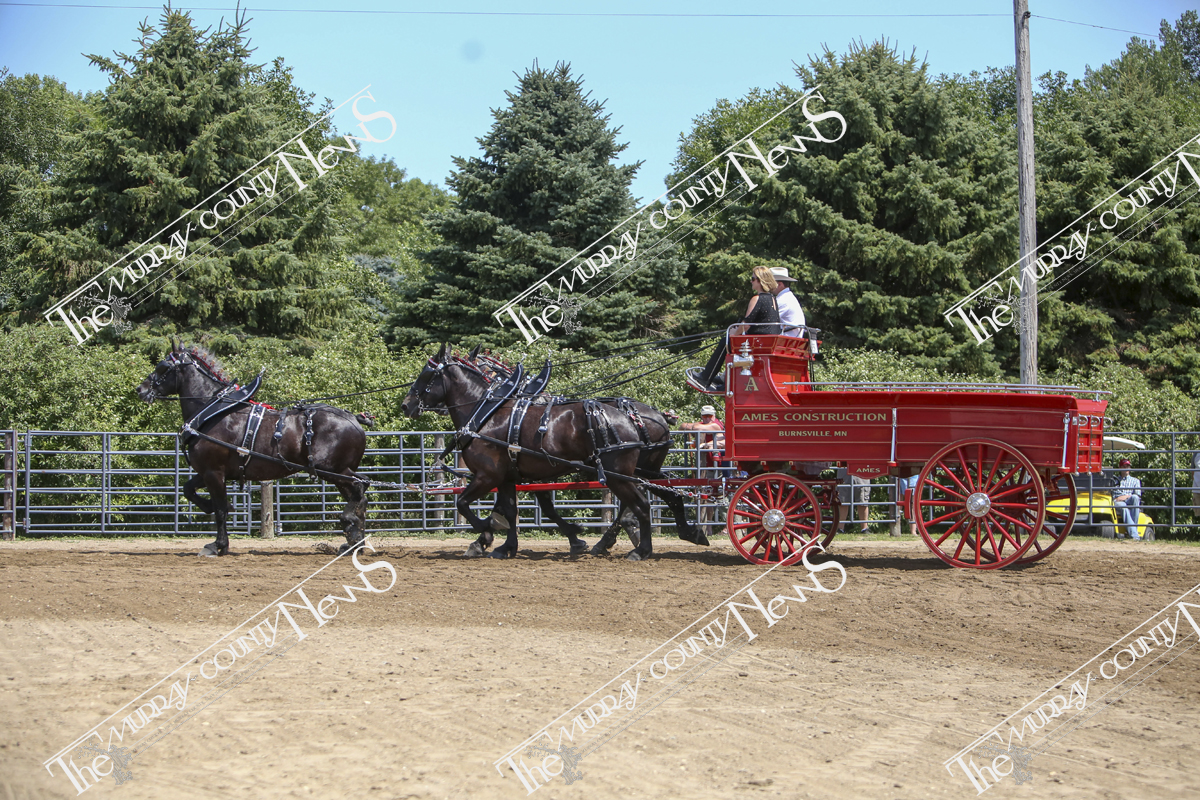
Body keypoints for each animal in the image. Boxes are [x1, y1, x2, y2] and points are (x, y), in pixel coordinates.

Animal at [137, 342, 372, 557]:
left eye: (162, 367)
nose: (141, 390)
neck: (212, 411)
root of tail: (354, 419)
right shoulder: (207, 472)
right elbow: (189, 490)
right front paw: (210, 510)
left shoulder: (214, 472)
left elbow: (221, 510)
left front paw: (218, 545)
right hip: (338, 472)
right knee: (360, 494)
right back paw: (354, 543)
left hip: (332, 470)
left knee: (359, 488)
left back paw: (350, 527)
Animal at [402, 344, 692, 560]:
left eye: (426, 374)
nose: (406, 405)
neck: (486, 413)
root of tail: (645, 417)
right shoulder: (510, 477)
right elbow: (514, 510)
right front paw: (506, 545)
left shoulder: (488, 476)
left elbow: (464, 502)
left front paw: (486, 531)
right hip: (643, 470)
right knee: (669, 495)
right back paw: (689, 533)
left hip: (618, 474)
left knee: (640, 505)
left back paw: (640, 549)